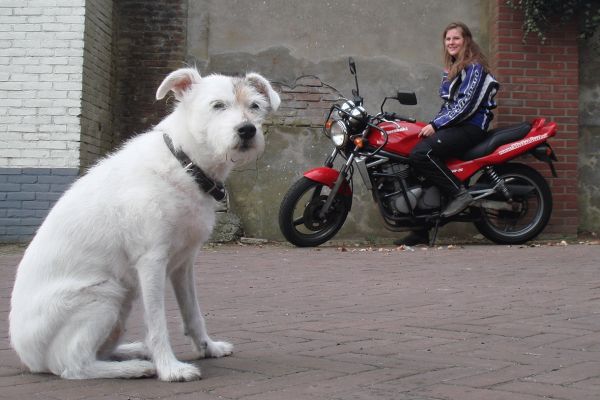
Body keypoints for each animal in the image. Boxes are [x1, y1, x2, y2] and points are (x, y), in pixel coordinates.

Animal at [9, 67, 282, 380]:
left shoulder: (183, 264)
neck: (185, 163)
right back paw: (135, 367)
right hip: (104, 296)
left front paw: (208, 348)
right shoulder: (152, 262)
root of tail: (27, 356)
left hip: (122, 302)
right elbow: (156, 323)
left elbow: (193, 313)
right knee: (74, 365)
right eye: (218, 105)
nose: (247, 130)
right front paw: (170, 368)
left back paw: (133, 351)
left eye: (255, 106)